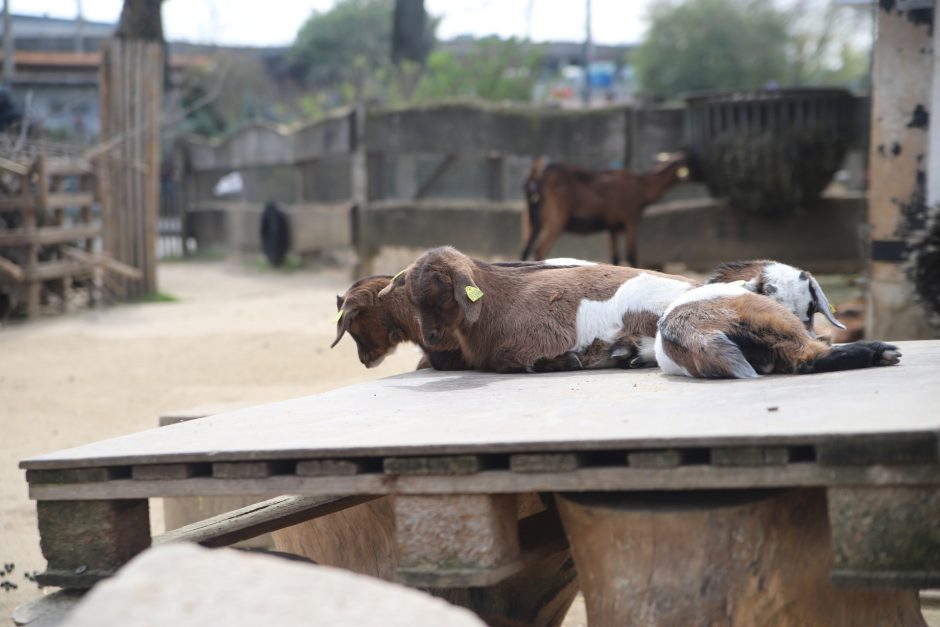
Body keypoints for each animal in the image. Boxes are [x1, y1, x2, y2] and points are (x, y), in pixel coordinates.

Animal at [378, 245, 692, 372]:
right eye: (412, 298)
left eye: (443, 293)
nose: (430, 336)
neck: (501, 300)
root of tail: (689, 284)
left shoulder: (536, 336)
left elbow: (503, 360)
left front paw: (567, 360)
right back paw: (625, 353)